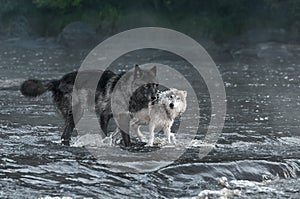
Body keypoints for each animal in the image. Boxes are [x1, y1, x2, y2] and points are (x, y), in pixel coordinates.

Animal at [19, 65, 158, 146]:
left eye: (155, 85)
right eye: (146, 85)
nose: (154, 97)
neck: (127, 91)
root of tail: (58, 81)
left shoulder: (123, 118)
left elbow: (126, 138)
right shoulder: (104, 115)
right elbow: (104, 135)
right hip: (76, 114)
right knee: (65, 135)